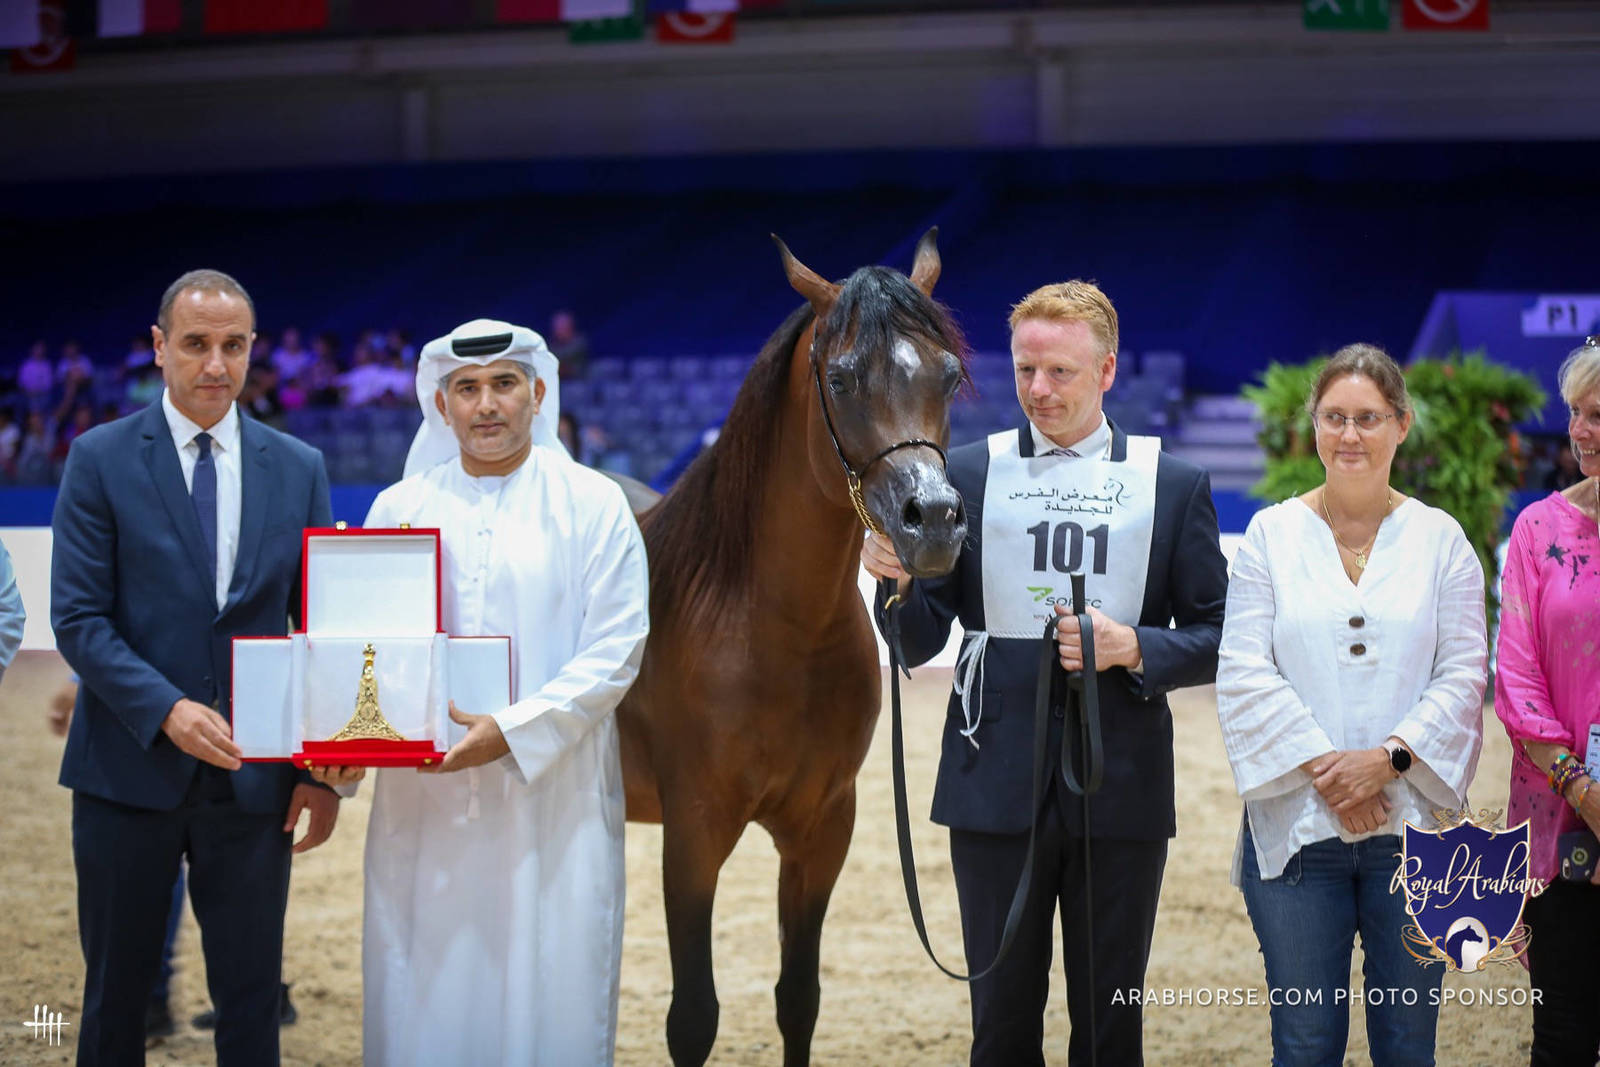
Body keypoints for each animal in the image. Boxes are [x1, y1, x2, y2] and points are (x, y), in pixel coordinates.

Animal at [617, 230, 970, 1067]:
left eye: (947, 375)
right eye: (840, 378)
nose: (934, 521)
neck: (771, 631)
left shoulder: (821, 830)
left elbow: (798, 999)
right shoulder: (693, 834)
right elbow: (693, 1017)